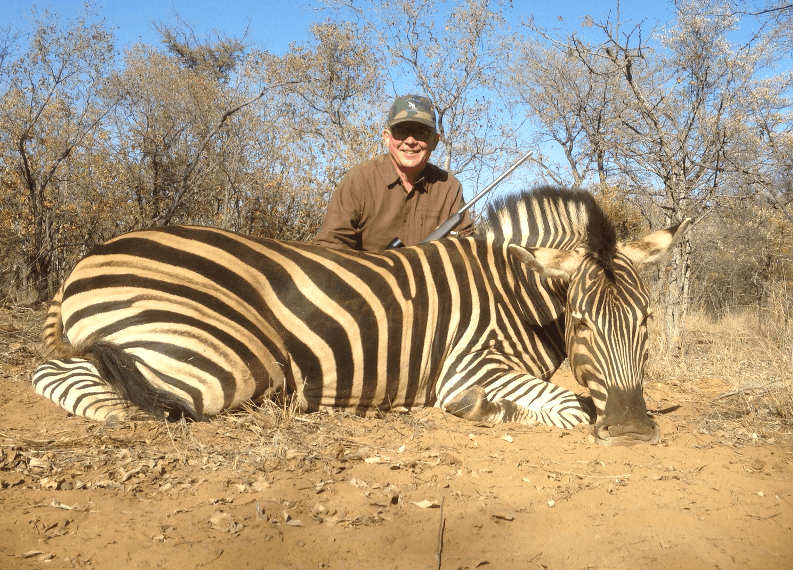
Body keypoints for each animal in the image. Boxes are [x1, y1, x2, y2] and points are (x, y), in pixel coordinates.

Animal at [32, 187, 690, 446]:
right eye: (581, 322)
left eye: (647, 322)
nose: (634, 430)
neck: (514, 292)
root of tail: (90, 256)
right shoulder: (470, 365)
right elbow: (571, 408)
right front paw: (485, 410)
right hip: (221, 360)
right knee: (60, 377)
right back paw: (124, 413)